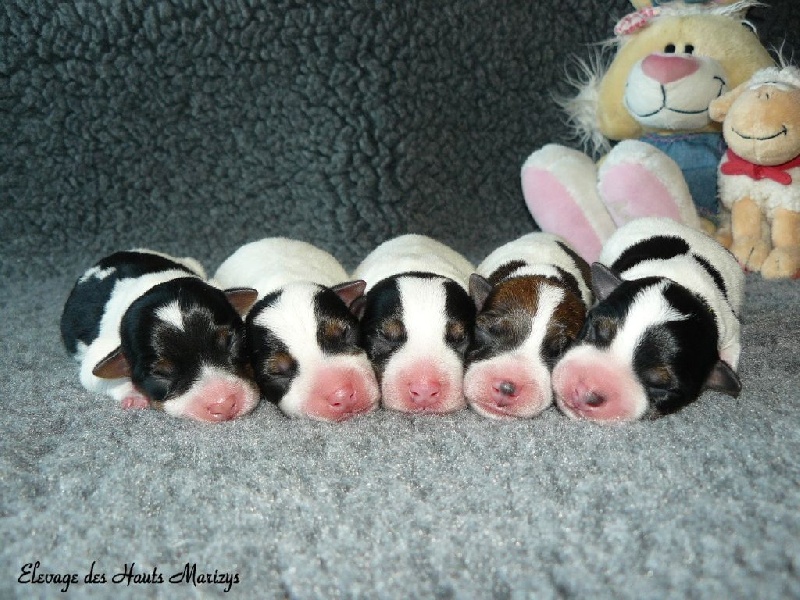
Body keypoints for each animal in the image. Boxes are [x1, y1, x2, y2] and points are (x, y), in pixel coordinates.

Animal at [63, 248, 262, 422]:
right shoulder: (100, 350)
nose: (224, 405)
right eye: (160, 373)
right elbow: (94, 377)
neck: (153, 286)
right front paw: (134, 394)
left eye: (230, 341)